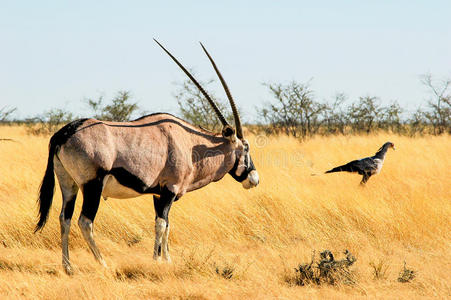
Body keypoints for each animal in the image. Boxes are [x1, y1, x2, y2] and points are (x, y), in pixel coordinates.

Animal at [35, 39, 260, 274]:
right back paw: (103, 264)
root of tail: (64, 133)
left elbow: (166, 224)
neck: (190, 145)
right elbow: (161, 224)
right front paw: (158, 261)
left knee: (65, 218)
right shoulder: (170, 190)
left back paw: (68, 267)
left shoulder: (158, 194)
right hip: (92, 186)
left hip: (68, 184)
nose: (254, 178)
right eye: (246, 148)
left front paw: (166, 259)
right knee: (85, 222)